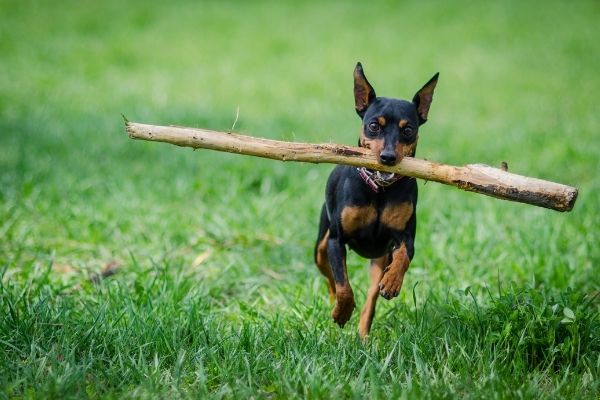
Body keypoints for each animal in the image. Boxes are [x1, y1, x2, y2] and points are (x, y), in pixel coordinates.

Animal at [314, 63, 436, 338]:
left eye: (408, 130)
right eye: (373, 126)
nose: (388, 157)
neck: (379, 191)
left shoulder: (404, 237)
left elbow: (405, 255)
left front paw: (392, 282)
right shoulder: (336, 241)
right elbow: (343, 284)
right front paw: (341, 312)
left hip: (378, 260)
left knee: (370, 300)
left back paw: (363, 335)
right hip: (321, 244)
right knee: (330, 277)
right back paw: (333, 303)